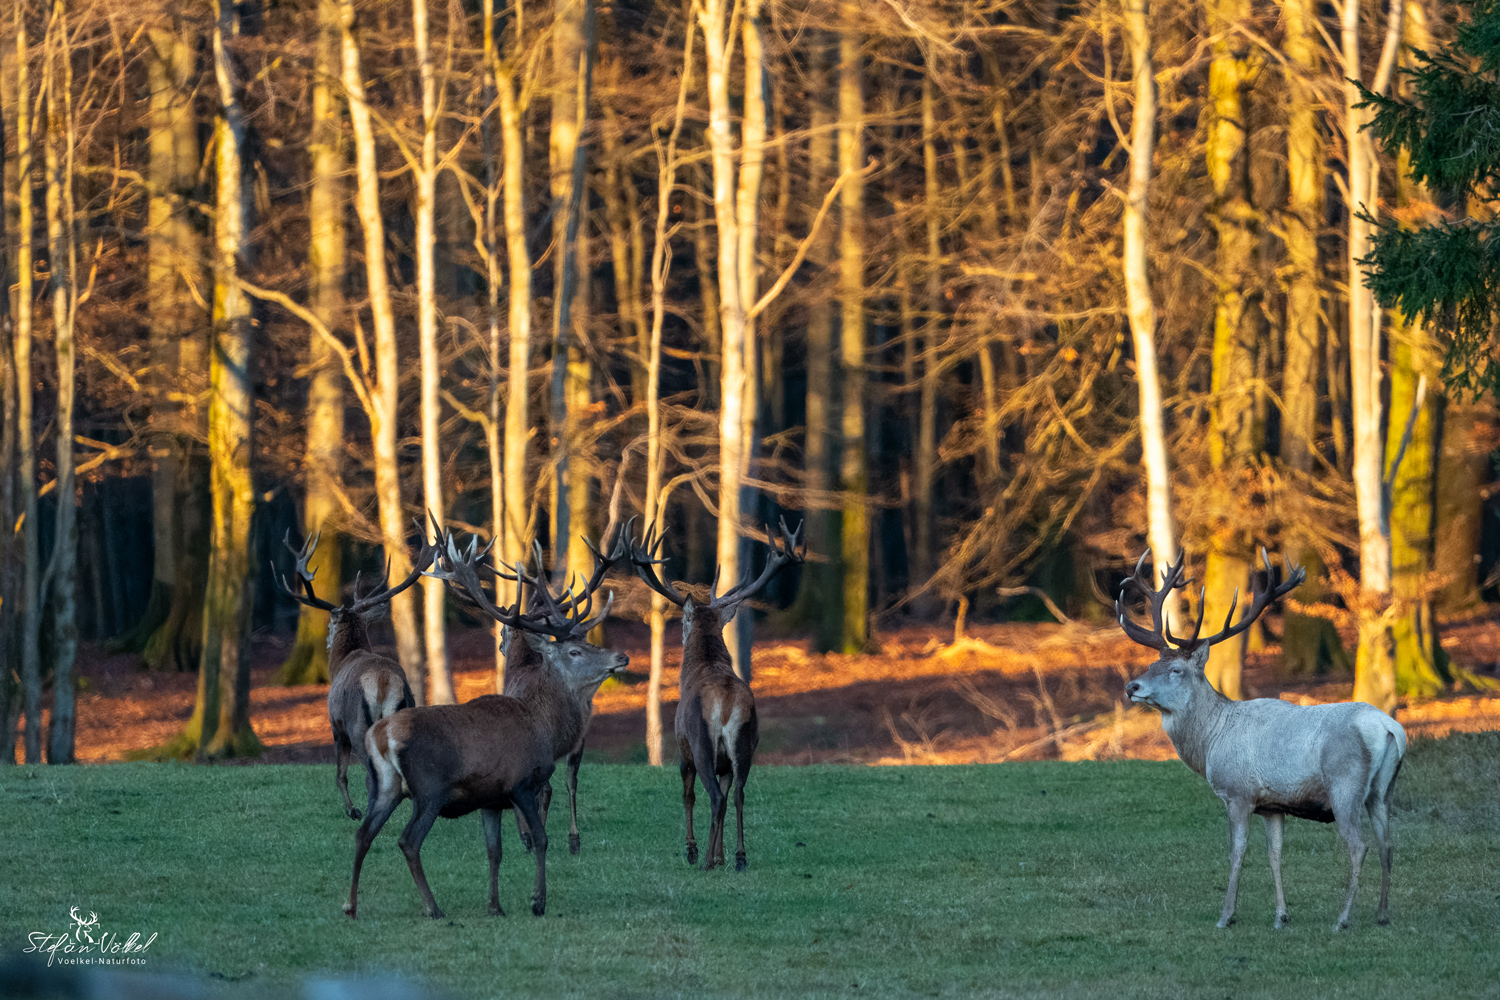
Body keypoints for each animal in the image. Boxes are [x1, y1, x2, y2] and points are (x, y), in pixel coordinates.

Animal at [276, 527, 435, 815]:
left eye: (330, 624)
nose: (327, 640)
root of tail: (384, 682)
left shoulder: (335, 724)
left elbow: (340, 774)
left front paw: (351, 809)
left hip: (358, 725)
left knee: (372, 776)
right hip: (405, 712)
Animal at [345, 536, 627, 917]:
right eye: (574, 652)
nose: (621, 657)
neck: (546, 730)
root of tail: (381, 735)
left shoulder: (490, 798)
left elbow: (494, 851)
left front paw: (494, 905)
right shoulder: (521, 782)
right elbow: (540, 839)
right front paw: (538, 900)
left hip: (385, 786)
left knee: (363, 834)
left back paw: (350, 905)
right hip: (430, 788)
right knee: (408, 841)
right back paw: (432, 907)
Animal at [627, 521, 804, 869]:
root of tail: (726, 704)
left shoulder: (682, 748)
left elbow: (688, 797)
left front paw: (693, 851)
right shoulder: (728, 761)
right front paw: (722, 854)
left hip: (702, 743)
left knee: (714, 796)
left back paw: (706, 860)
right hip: (746, 743)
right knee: (737, 795)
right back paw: (739, 857)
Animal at [1128, 548, 1404, 929]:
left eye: (1175, 670)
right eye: (1151, 665)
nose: (1131, 686)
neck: (1211, 739)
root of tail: (1388, 727)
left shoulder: (1237, 792)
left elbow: (1237, 852)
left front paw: (1226, 916)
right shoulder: (1273, 805)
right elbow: (1275, 854)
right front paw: (1281, 916)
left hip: (1345, 783)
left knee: (1358, 845)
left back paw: (1342, 919)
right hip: (1383, 788)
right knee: (1387, 843)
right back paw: (1382, 914)